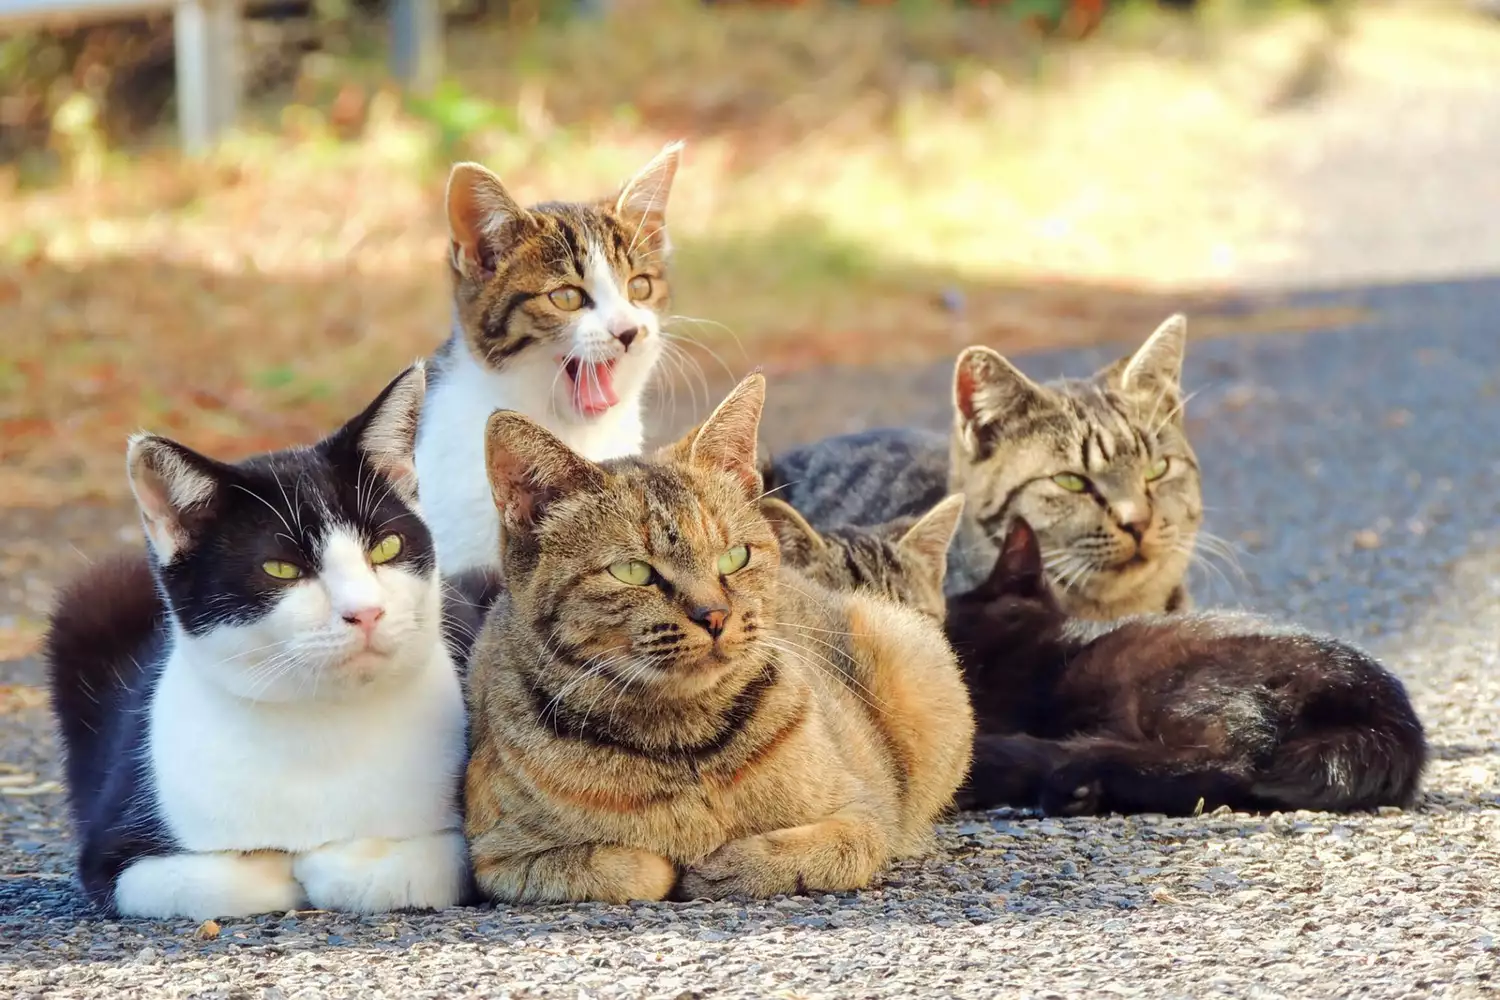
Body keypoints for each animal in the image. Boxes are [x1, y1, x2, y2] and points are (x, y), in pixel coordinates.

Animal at [46, 364, 468, 917]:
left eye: (386, 546)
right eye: (281, 569)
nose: (366, 612)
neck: (323, 725)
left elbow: (412, 867)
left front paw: (332, 860)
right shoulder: (113, 850)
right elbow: (224, 878)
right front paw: (286, 864)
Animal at [462, 371, 972, 905]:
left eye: (734, 557)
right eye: (633, 571)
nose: (715, 616)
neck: (685, 741)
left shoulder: (864, 812)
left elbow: (827, 850)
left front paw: (728, 864)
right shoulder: (496, 857)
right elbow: (632, 867)